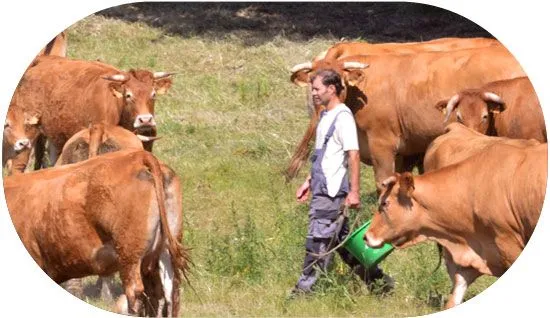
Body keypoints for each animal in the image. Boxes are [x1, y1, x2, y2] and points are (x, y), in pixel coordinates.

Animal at [288, 44, 528, 193]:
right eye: (313, 80)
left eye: (338, 79)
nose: (322, 99)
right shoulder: (404, 150)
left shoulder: (382, 143)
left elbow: (383, 181)